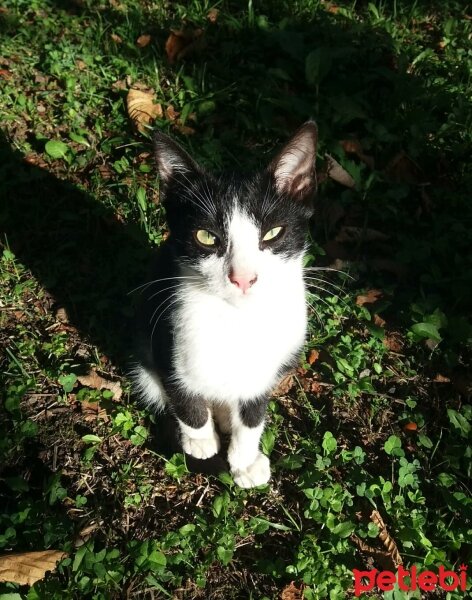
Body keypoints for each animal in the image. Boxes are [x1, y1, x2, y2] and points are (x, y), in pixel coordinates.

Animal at [133, 120, 318, 488]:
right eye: (207, 237)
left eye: (273, 233)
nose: (243, 278)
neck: (235, 320)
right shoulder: (166, 331)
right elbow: (181, 390)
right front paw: (201, 441)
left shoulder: (270, 359)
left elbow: (254, 409)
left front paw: (244, 459)